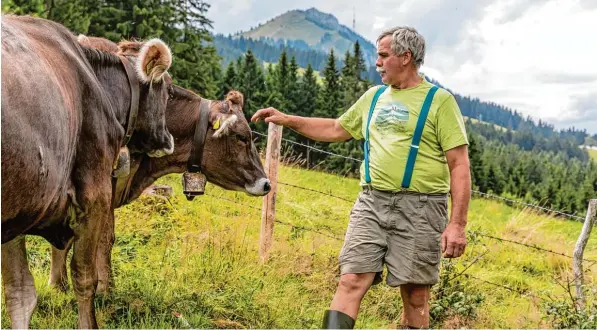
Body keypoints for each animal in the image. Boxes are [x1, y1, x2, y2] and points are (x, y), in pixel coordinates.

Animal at [1, 15, 175, 328]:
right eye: (167, 90)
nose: (168, 139)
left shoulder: (19, 212)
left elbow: (19, 293)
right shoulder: (94, 198)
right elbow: (84, 278)